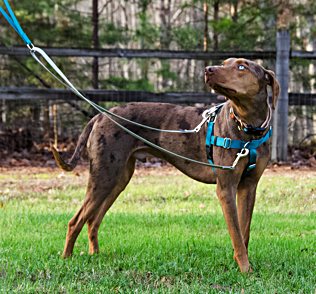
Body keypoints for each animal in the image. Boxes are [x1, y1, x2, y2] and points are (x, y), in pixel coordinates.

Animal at [53, 58, 280, 272]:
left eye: (242, 67)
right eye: (225, 63)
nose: (208, 69)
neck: (247, 128)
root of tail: (100, 115)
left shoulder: (248, 186)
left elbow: (244, 233)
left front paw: (242, 265)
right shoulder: (226, 187)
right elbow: (236, 235)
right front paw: (245, 270)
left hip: (118, 178)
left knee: (92, 220)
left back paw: (94, 255)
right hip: (104, 176)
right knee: (75, 221)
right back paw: (66, 259)